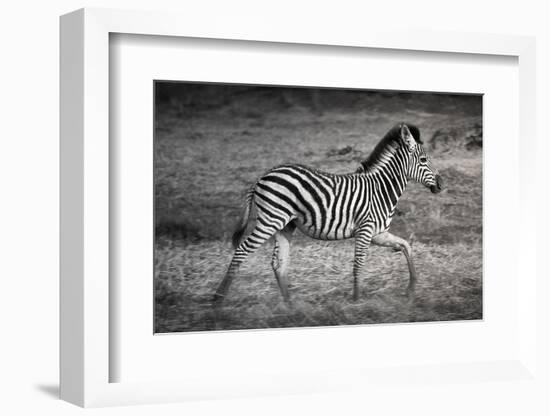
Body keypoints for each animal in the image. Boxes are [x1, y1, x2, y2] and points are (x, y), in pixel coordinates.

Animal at [213, 122, 446, 302]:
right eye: (424, 161)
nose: (442, 184)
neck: (381, 189)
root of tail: (262, 177)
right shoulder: (365, 230)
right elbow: (358, 265)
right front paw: (356, 301)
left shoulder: (378, 233)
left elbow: (406, 246)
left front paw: (411, 288)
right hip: (271, 220)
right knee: (242, 251)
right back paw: (218, 299)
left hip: (284, 225)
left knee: (278, 263)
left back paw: (290, 305)